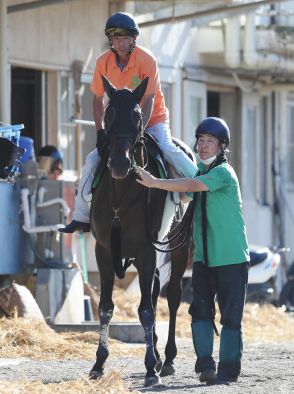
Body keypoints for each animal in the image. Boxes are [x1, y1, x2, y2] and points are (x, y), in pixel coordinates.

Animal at [89, 75, 191, 386]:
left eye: (137, 116)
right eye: (109, 114)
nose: (120, 163)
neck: (121, 195)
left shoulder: (147, 250)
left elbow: (146, 309)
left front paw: (149, 369)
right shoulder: (105, 251)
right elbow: (106, 306)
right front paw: (99, 363)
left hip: (179, 248)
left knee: (172, 296)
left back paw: (166, 359)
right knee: (156, 292)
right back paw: (157, 354)